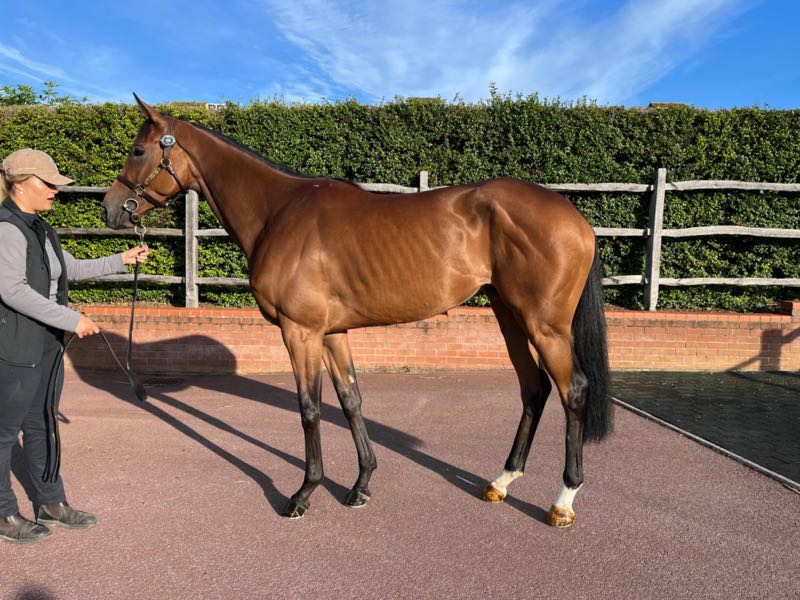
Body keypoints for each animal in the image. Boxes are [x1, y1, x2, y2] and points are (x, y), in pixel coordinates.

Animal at [101, 95, 612, 528]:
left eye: (139, 150)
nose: (110, 211)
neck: (279, 212)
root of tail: (576, 217)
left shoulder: (300, 331)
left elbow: (309, 407)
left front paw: (304, 493)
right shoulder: (332, 333)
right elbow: (350, 401)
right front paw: (361, 484)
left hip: (545, 325)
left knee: (573, 390)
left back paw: (563, 501)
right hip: (509, 316)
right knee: (534, 388)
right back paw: (502, 482)